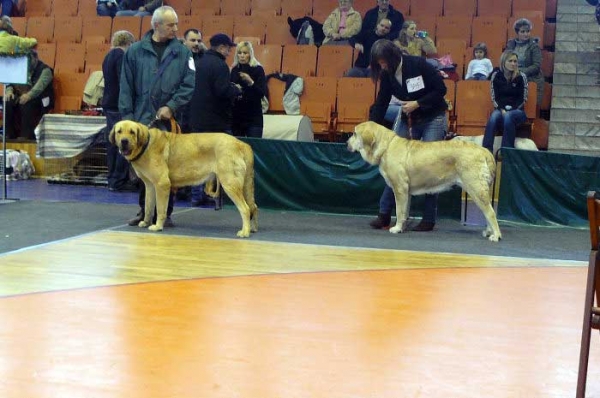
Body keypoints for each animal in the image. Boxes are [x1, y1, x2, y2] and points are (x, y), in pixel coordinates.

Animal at [109, 119, 258, 236]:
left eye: (132, 132)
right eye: (119, 131)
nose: (124, 141)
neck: (146, 145)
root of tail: (242, 144)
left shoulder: (162, 184)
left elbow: (161, 209)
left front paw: (158, 226)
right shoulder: (150, 186)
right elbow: (148, 207)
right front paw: (145, 222)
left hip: (230, 184)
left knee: (245, 209)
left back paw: (245, 232)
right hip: (245, 185)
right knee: (253, 206)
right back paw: (253, 229)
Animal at [346, 121, 502, 241]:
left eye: (354, 133)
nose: (346, 143)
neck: (386, 147)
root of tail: (484, 150)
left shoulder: (400, 188)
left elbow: (399, 211)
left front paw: (396, 228)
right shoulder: (406, 192)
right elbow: (405, 211)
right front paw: (402, 227)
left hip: (475, 188)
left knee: (490, 212)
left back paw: (496, 235)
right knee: (487, 212)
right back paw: (489, 232)